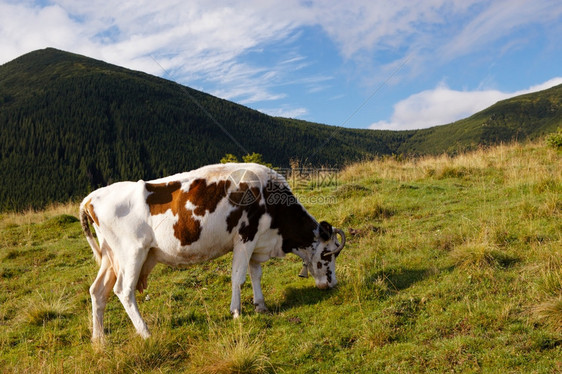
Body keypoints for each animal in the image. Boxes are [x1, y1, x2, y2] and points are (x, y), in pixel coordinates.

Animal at [78, 162, 342, 340]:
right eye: (327, 254)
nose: (332, 284)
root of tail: (92, 197)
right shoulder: (245, 236)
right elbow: (239, 277)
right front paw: (236, 312)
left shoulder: (257, 240)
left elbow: (256, 274)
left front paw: (261, 305)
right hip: (131, 253)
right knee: (123, 290)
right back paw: (145, 332)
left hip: (110, 256)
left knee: (97, 291)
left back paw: (99, 339)